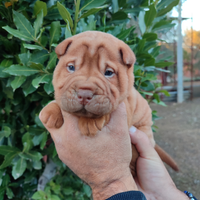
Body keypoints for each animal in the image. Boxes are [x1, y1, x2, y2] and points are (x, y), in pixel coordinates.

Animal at [39, 30, 178, 176]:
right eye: (71, 67)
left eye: (108, 73)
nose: (85, 94)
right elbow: (61, 99)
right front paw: (50, 111)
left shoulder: (126, 105)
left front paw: (89, 122)